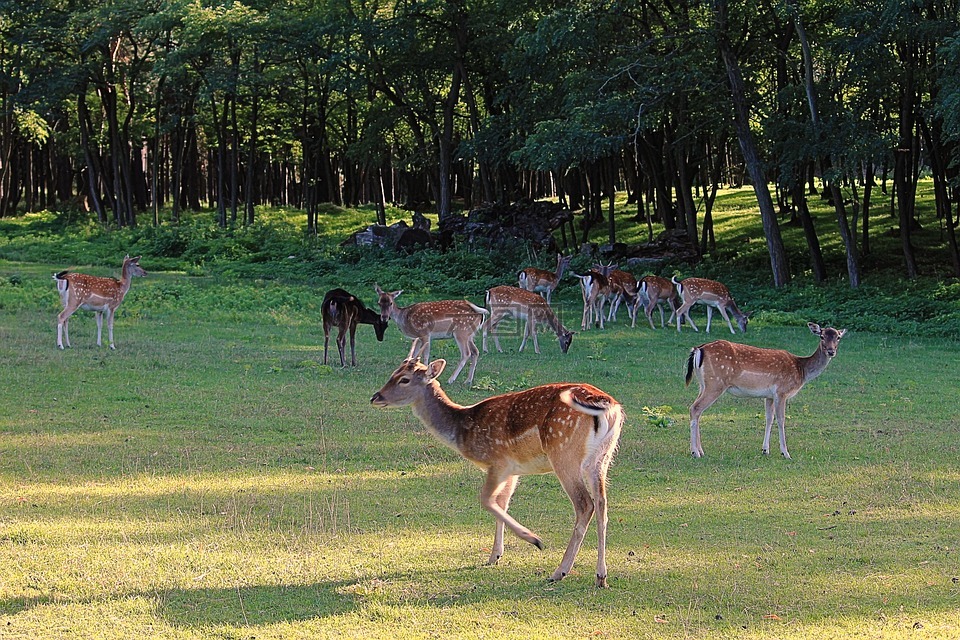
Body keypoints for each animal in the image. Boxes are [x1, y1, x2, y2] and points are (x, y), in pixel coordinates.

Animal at [368, 352, 624, 588]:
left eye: (404, 379)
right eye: (394, 372)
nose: (375, 397)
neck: (463, 431)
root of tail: (610, 407)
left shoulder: (498, 462)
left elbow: (486, 500)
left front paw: (533, 540)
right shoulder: (513, 470)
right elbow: (502, 503)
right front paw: (495, 556)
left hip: (564, 453)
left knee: (585, 504)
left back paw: (559, 571)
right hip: (602, 459)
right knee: (602, 504)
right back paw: (601, 576)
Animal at [684, 324, 848, 460]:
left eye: (838, 337)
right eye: (822, 336)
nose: (831, 351)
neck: (801, 370)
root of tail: (698, 349)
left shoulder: (768, 395)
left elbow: (769, 418)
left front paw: (765, 450)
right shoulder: (781, 391)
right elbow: (781, 419)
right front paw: (786, 453)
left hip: (703, 384)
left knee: (698, 411)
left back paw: (701, 450)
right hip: (715, 383)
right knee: (695, 408)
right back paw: (695, 452)